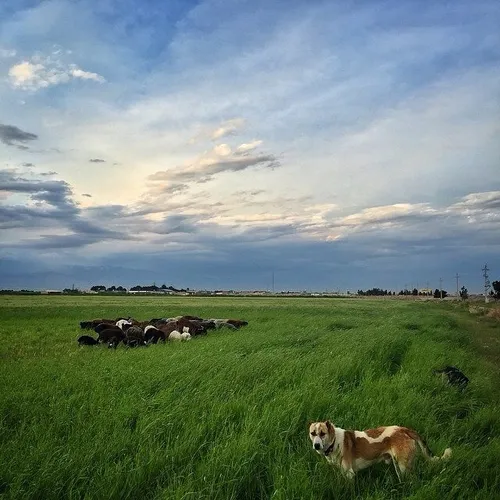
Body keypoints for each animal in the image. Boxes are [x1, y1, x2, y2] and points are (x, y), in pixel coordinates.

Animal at [310, 422, 452, 480]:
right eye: (313, 433)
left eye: (322, 433)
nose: (316, 445)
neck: (334, 441)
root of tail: (403, 429)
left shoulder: (350, 474)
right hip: (398, 466)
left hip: (403, 466)